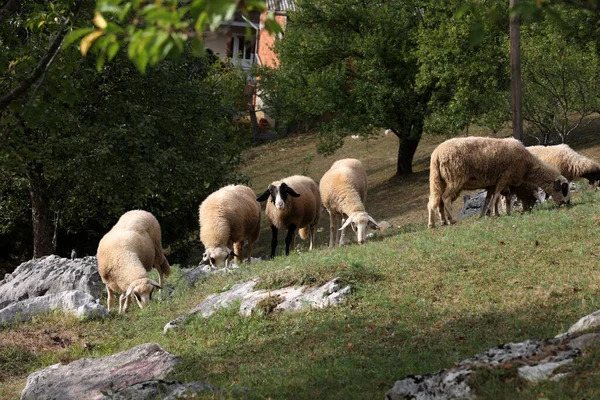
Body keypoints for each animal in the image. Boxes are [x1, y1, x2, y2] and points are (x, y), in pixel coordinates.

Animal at [426, 137, 572, 228]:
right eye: (564, 189)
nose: (568, 203)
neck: (528, 166)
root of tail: (436, 155)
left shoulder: (494, 183)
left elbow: (491, 198)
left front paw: (486, 214)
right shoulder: (504, 178)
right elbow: (497, 197)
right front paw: (493, 213)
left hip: (439, 180)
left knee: (435, 201)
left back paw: (438, 223)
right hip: (455, 178)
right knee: (445, 198)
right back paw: (453, 219)